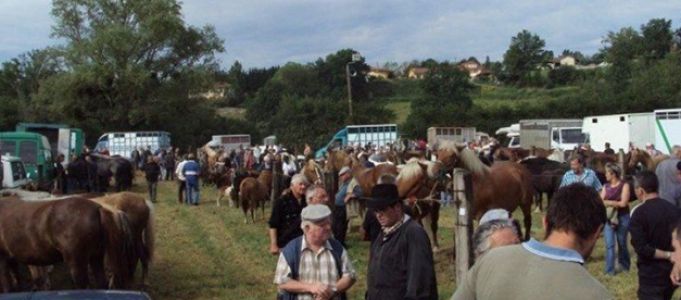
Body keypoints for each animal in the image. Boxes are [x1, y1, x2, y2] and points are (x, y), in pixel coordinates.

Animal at [0, 195, 133, 290]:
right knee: (101, 284)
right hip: (96, 257)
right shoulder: (11, 260)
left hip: (77, 263)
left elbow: (7, 286)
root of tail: (98, 208)